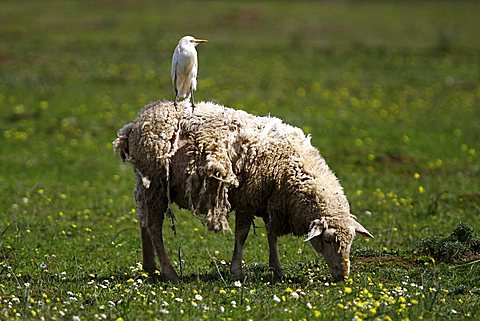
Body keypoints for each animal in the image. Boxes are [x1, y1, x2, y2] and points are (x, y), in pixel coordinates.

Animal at [114, 99, 374, 280]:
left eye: (351, 241)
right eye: (328, 240)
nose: (343, 276)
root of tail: (135, 123)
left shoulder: (270, 199)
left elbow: (271, 235)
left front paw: (277, 269)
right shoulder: (249, 197)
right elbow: (242, 234)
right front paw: (237, 271)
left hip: (146, 184)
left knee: (144, 221)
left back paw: (150, 268)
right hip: (156, 182)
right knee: (154, 227)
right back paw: (169, 273)